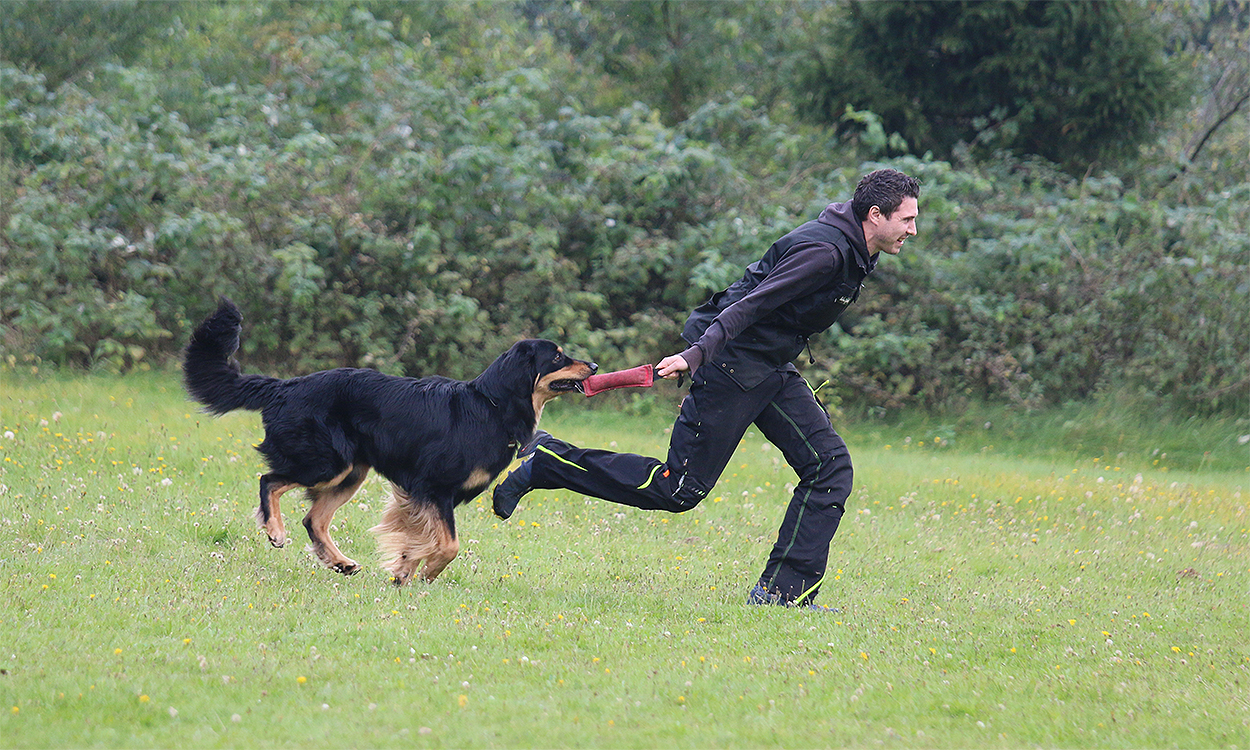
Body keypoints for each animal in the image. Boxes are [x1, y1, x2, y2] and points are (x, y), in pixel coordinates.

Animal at [182, 298, 596, 584]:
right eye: (557, 356)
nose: (593, 366)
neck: (491, 406)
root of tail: (285, 386)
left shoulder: (420, 494)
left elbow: (419, 538)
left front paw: (404, 569)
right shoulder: (433, 487)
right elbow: (449, 545)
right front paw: (424, 571)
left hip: (351, 472)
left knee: (314, 518)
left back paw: (340, 562)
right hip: (326, 462)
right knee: (270, 481)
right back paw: (275, 530)